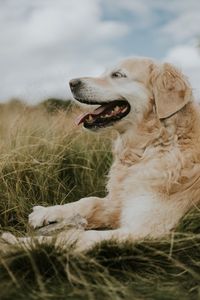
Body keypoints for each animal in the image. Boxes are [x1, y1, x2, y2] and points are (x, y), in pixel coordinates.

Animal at [1, 56, 200, 251]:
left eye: (117, 74)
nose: (72, 82)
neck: (152, 145)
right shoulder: (118, 202)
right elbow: (89, 201)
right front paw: (46, 212)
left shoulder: (150, 230)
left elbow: (78, 236)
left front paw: (21, 242)